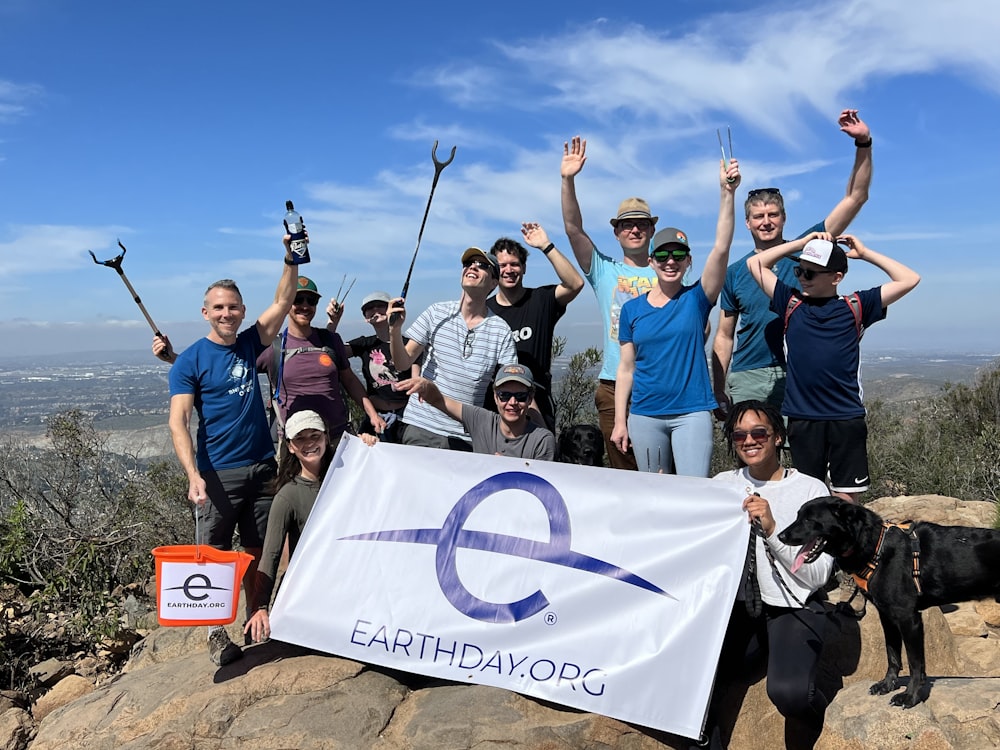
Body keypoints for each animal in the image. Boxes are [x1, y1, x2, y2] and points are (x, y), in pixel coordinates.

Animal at [780, 500, 1000, 712]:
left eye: (809, 519)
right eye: (798, 516)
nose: (781, 536)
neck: (877, 548)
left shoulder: (909, 619)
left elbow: (915, 664)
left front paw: (910, 697)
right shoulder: (887, 617)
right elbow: (892, 655)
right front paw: (887, 685)